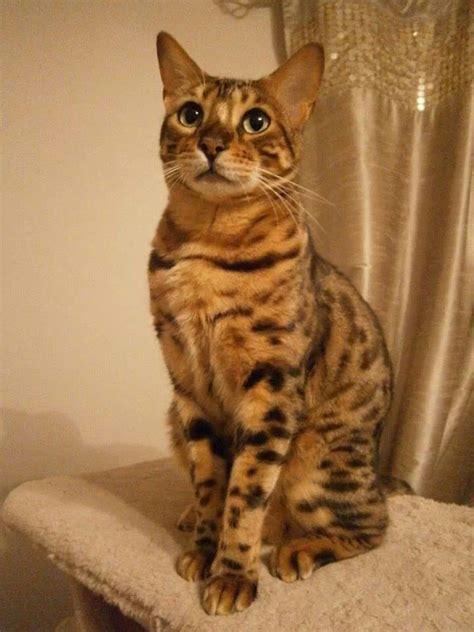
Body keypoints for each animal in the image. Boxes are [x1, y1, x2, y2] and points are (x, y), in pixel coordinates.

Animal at [149, 32, 392, 616]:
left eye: (255, 121)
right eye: (190, 114)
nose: (211, 143)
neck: (207, 247)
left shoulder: (272, 387)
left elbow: (245, 496)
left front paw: (232, 575)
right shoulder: (188, 386)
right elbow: (212, 485)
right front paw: (205, 548)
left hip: (317, 467)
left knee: (372, 527)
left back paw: (299, 549)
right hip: (173, 419)